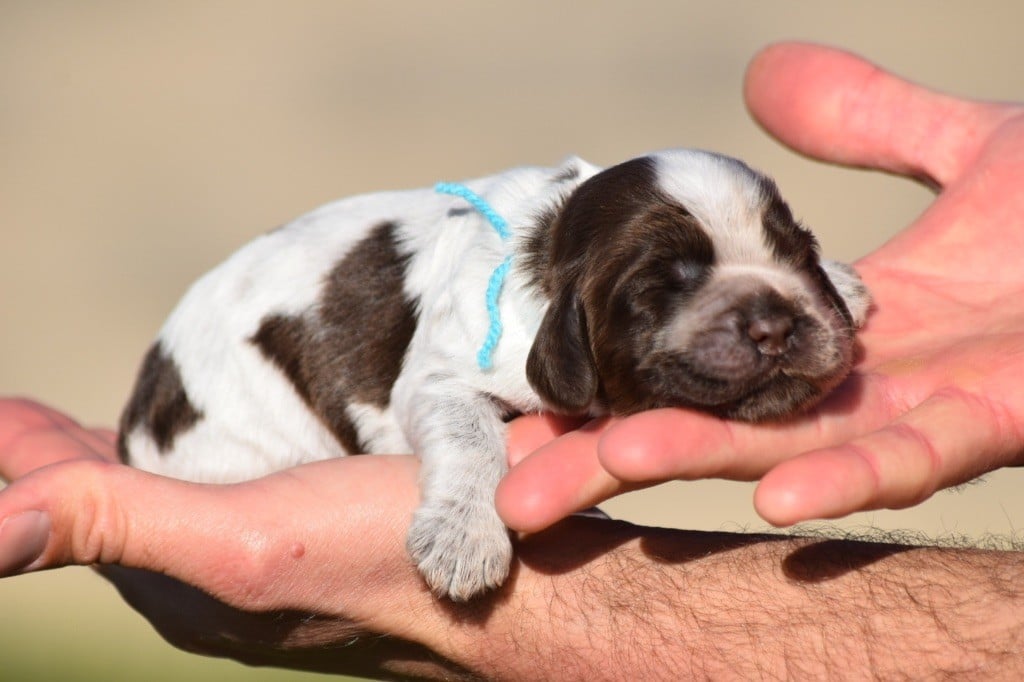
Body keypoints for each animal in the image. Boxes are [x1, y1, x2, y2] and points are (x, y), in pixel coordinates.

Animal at [121, 150, 872, 602]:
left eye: (794, 254)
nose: (775, 324)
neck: (544, 246)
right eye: (666, 284)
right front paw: (462, 538)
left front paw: (842, 285)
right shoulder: (439, 378)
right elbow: (471, 439)